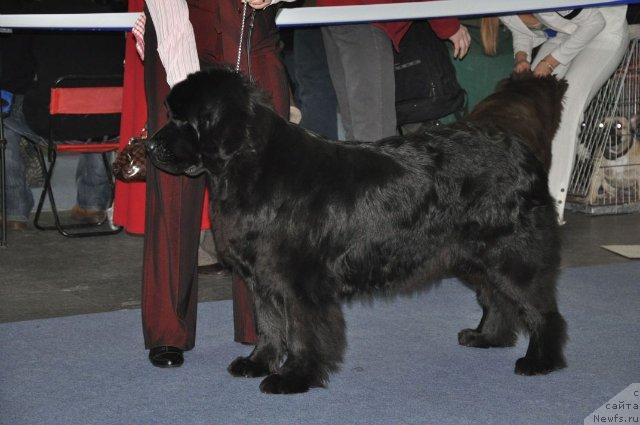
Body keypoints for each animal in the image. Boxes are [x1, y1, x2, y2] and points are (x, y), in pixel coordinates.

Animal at [148, 67, 568, 394]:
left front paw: (293, 378)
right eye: (171, 114)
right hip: (472, 255)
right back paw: (488, 338)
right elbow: (268, 324)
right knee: (497, 298)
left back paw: (540, 361)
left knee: (541, 309)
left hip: (512, 254)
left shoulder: (299, 280)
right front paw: (258, 362)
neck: (251, 166)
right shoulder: (264, 277)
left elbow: (302, 331)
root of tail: (520, 148)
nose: (150, 145)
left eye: (184, 120)